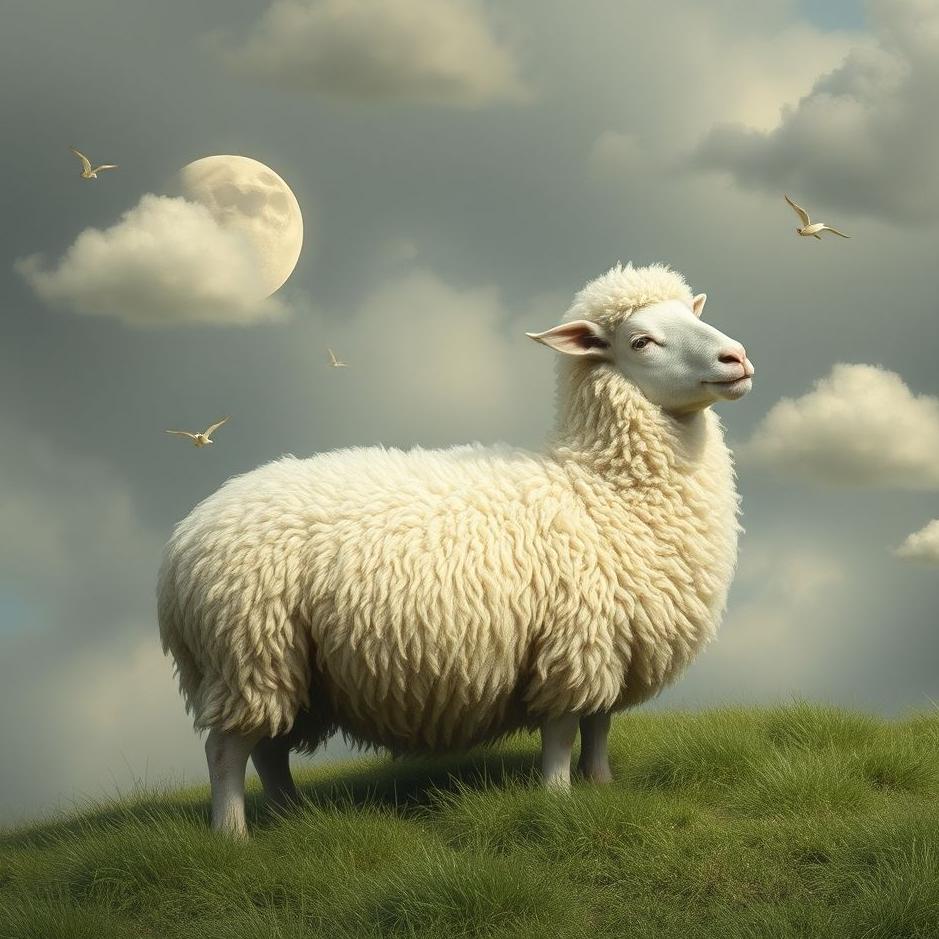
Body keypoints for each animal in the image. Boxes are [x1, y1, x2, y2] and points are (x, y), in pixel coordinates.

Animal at [157, 261, 755, 836]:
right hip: (247, 652)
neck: (598, 484)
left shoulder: (610, 646)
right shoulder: (572, 644)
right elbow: (563, 735)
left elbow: (599, 726)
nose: (738, 358)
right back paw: (233, 837)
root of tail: (183, 542)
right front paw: (558, 803)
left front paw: (602, 787)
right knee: (226, 750)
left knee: (269, 750)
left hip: (285, 667)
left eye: (692, 313)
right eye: (641, 341)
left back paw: (289, 818)